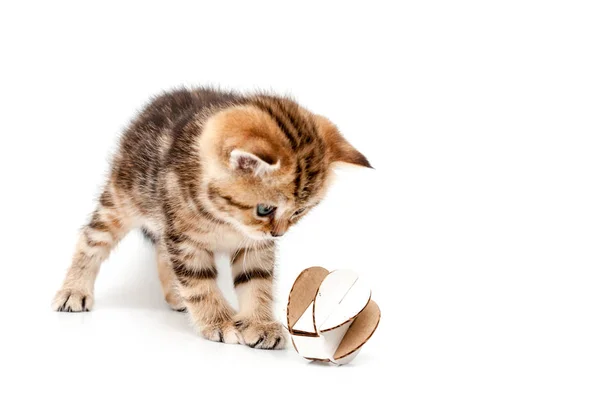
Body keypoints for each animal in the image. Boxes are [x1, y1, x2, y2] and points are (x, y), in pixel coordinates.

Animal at [52, 86, 370, 348]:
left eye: (299, 211)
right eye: (264, 209)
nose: (277, 233)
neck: (225, 219)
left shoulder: (254, 245)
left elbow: (257, 281)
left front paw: (259, 324)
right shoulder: (184, 238)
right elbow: (199, 282)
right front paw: (221, 321)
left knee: (161, 251)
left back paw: (176, 295)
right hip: (123, 197)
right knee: (93, 239)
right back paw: (73, 291)